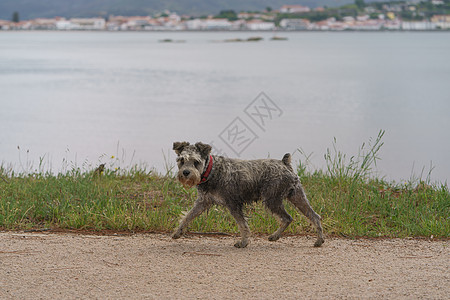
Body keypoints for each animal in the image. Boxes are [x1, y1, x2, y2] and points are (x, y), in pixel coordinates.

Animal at [171, 142, 324, 247]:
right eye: (181, 160)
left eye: (196, 162)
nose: (185, 172)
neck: (211, 170)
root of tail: (284, 163)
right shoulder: (203, 202)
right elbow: (188, 216)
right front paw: (177, 232)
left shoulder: (233, 204)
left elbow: (243, 225)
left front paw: (243, 242)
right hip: (296, 196)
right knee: (313, 216)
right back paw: (318, 240)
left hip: (272, 200)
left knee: (288, 218)